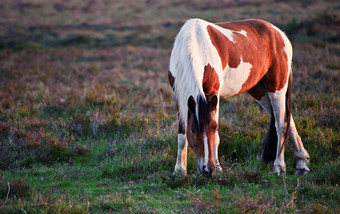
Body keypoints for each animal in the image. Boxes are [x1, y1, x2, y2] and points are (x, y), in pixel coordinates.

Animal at [168, 18, 310, 176]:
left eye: (214, 127)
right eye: (193, 130)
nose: (208, 169)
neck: (195, 45)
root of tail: (280, 34)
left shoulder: (213, 95)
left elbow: (215, 137)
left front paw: (218, 167)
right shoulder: (180, 97)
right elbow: (182, 134)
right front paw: (179, 171)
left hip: (277, 88)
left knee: (281, 124)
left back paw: (279, 167)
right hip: (259, 92)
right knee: (289, 121)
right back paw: (302, 163)